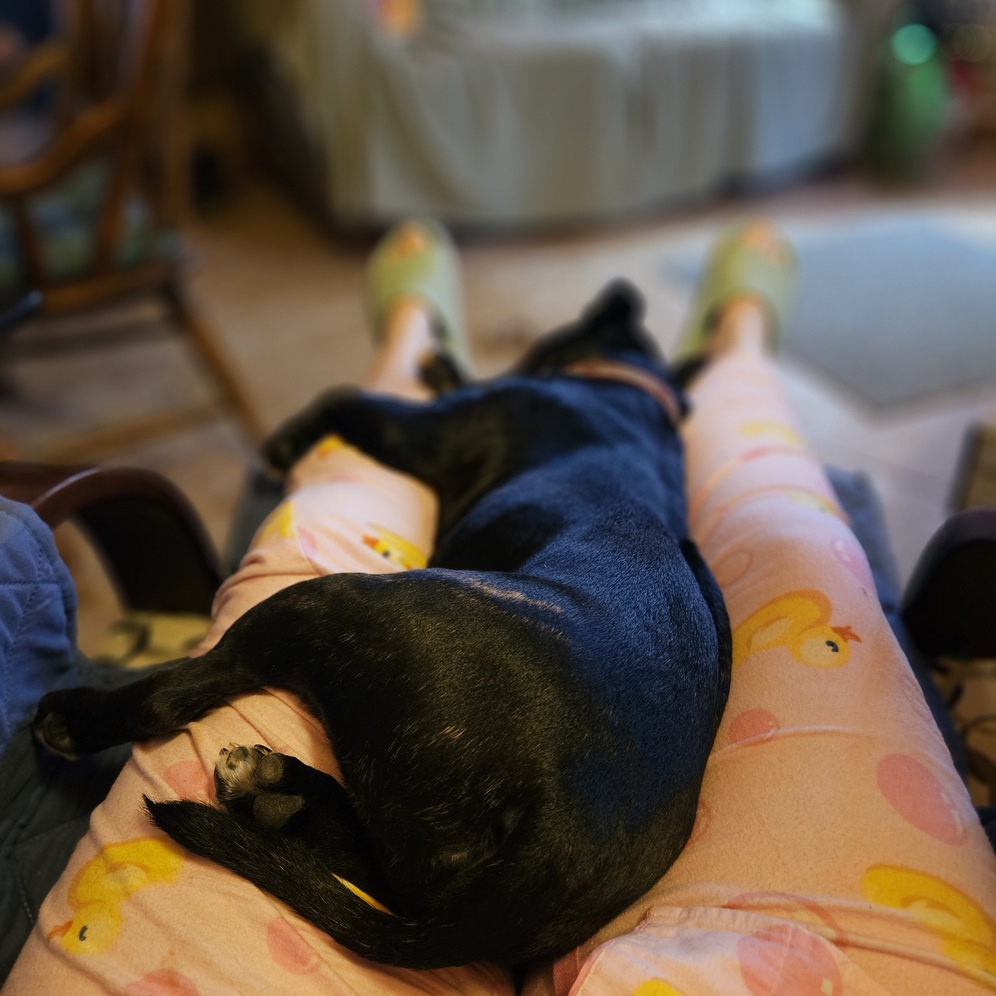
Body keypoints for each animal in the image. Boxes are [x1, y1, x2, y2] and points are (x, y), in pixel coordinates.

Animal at [34, 282, 732, 970]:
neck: (631, 383)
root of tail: (559, 840)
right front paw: (443, 362)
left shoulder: (417, 429)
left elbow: (346, 397)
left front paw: (292, 436)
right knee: (375, 872)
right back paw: (277, 795)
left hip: (323, 605)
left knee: (181, 691)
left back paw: (83, 723)